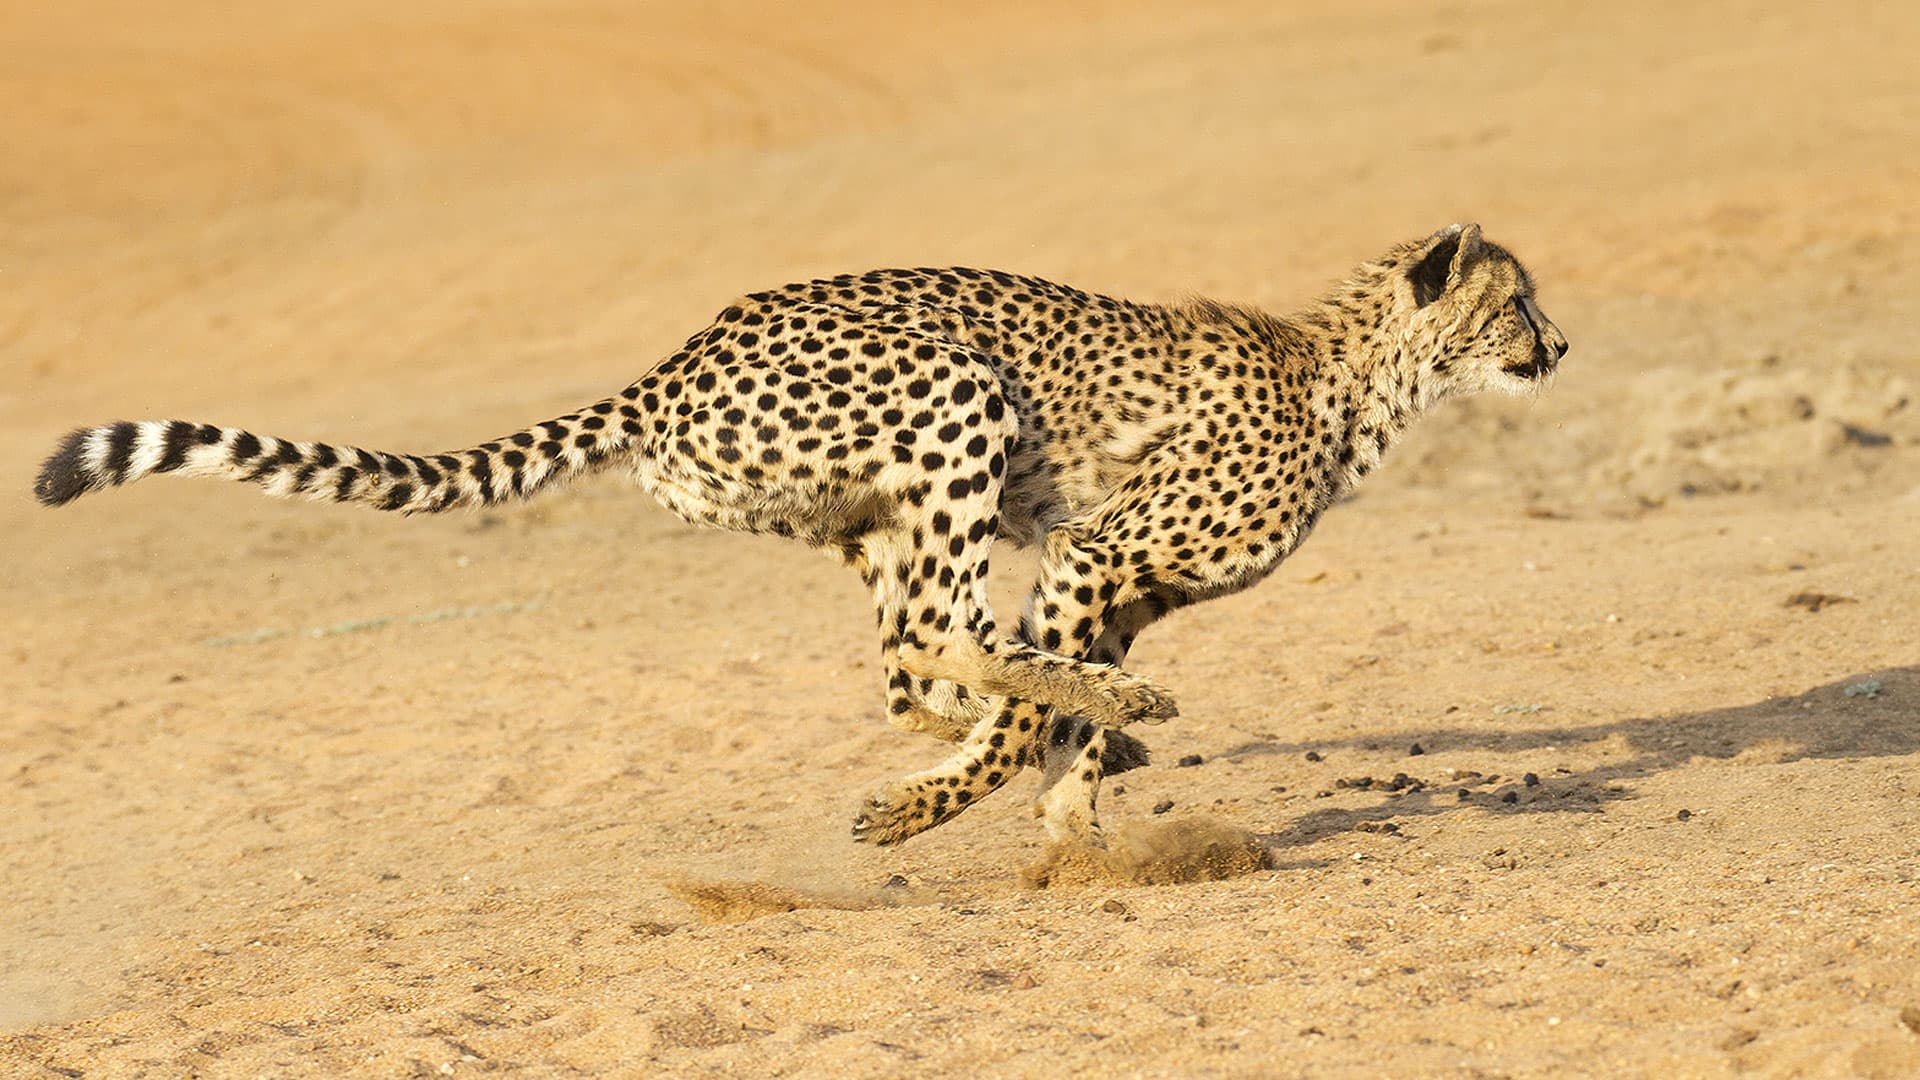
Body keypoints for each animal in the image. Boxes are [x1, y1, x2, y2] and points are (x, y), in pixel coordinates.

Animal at [33, 223, 1567, 849]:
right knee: (941, 636)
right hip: (955, 401)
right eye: (1517, 301)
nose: (1560, 346)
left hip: (870, 511)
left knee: (905, 660)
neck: (1358, 378)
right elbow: (1036, 706)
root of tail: (675, 359)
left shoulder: (1114, 584)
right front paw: (975, 806)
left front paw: (1074, 817)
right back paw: (1062, 730)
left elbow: (1039, 714)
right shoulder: (1092, 558)